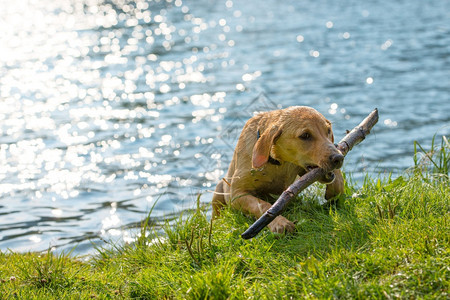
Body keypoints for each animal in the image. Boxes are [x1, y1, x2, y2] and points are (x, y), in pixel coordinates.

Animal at [211, 106, 344, 233]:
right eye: (305, 135)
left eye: (328, 131)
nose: (339, 158)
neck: (278, 162)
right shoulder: (236, 194)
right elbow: (261, 205)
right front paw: (280, 223)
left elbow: (337, 182)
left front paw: (334, 189)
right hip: (218, 191)